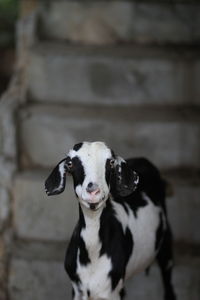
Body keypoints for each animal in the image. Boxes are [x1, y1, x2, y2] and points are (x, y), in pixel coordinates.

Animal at [44, 141, 176, 300]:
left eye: (111, 162)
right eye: (70, 163)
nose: (93, 191)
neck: (93, 255)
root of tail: (142, 160)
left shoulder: (111, 291)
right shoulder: (77, 289)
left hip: (166, 245)